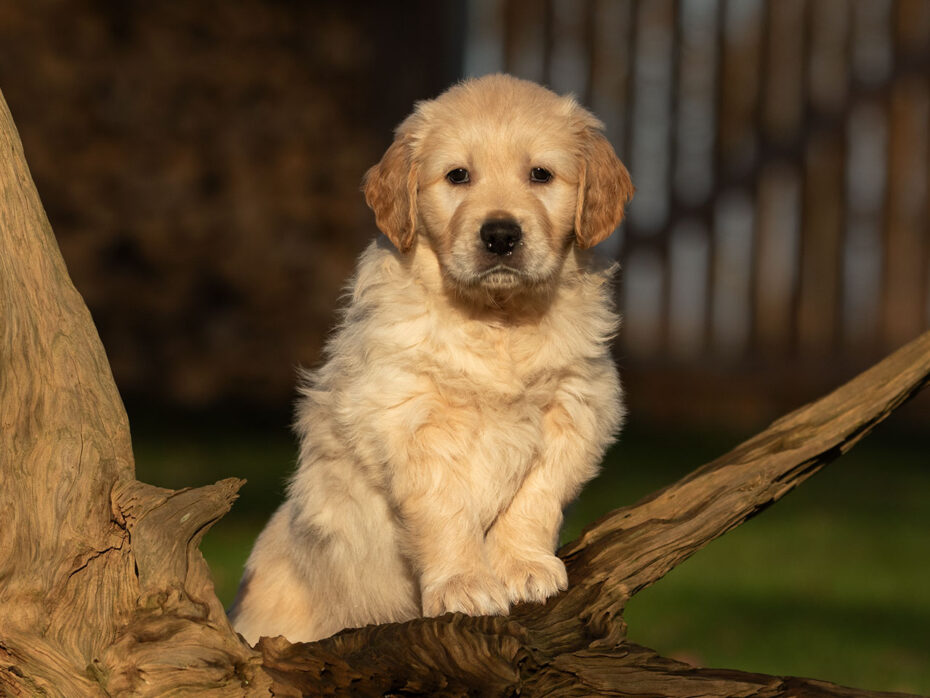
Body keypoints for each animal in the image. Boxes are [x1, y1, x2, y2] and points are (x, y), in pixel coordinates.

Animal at [227, 72, 632, 640]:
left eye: (541, 174)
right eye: (458, 175)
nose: (500, 235)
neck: (496, 319)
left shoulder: (575, 409)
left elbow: (536, 497)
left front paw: (524, 566)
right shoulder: (408, 420)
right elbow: (446, 513)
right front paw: (463, 584)